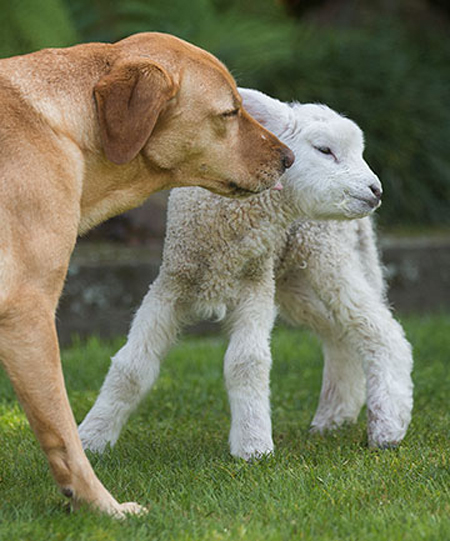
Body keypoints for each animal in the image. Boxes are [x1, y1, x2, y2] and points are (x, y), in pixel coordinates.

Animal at [0, 31, 294, 516]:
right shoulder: (29, 313)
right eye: (230, 112)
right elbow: (65, 432)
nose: (290, 158)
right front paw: (104, 506)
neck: (63, 124)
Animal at [79, 89, 414, 460]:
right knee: (339, 334)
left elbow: (247, 362)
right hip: (294, 277)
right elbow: (131, 367)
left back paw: (387, 428)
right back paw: (332, 418)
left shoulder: (254, 283)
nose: (375, 190)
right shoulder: (172, 282)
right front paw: (90, 440)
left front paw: (253, 446)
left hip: (325, 252)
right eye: (324, 149)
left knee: (381, 331)